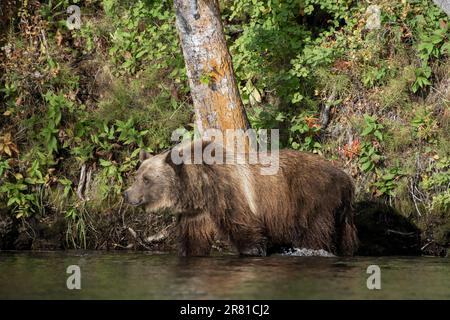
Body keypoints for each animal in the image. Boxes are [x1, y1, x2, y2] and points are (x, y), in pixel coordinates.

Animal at [123, 140, 358, 255]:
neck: (200, 189)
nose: (127, 194)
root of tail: (347, 179)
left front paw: (253, 250)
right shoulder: (196, 213)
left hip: (312, 200)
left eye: (146, 179)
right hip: (340, 214)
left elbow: (243, 227)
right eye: (138, 175)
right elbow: (194, 240)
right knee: (346, 239)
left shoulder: (229, 195)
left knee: (314, 234)